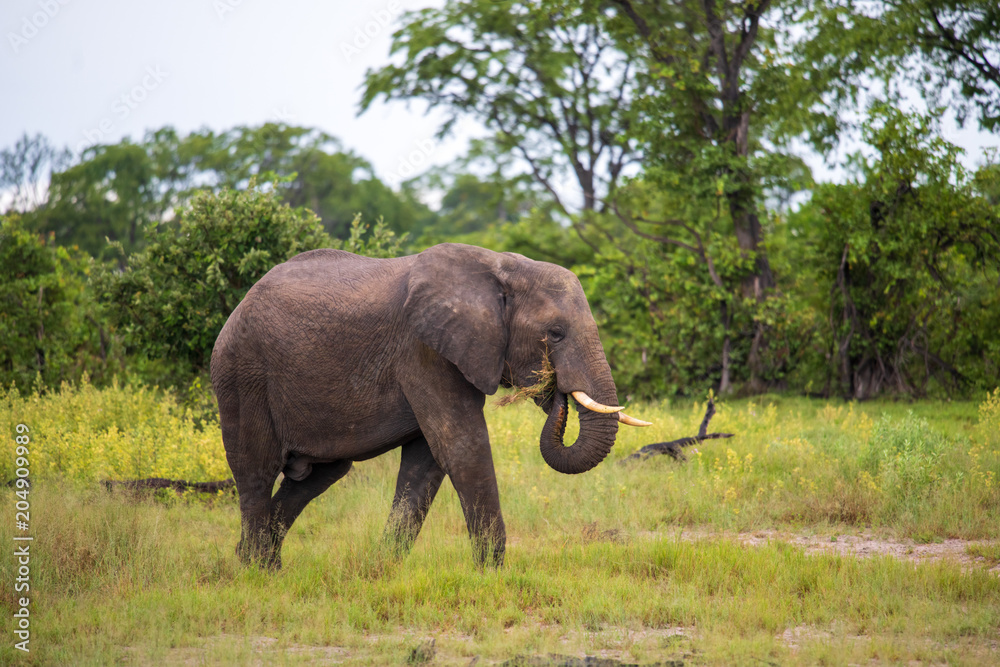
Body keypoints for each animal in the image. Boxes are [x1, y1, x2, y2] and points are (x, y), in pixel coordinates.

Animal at [210, 242, 649, 569]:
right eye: (555, 334)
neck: (503, 267)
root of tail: (238, 306)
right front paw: (492, 571)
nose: (555, 390)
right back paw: (258, 570)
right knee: (256, 470)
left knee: (318, 476)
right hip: (243, 375)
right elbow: (462, 445)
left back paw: (256, 558)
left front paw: (384, 568)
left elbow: (426, 462)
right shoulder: (424, 350)